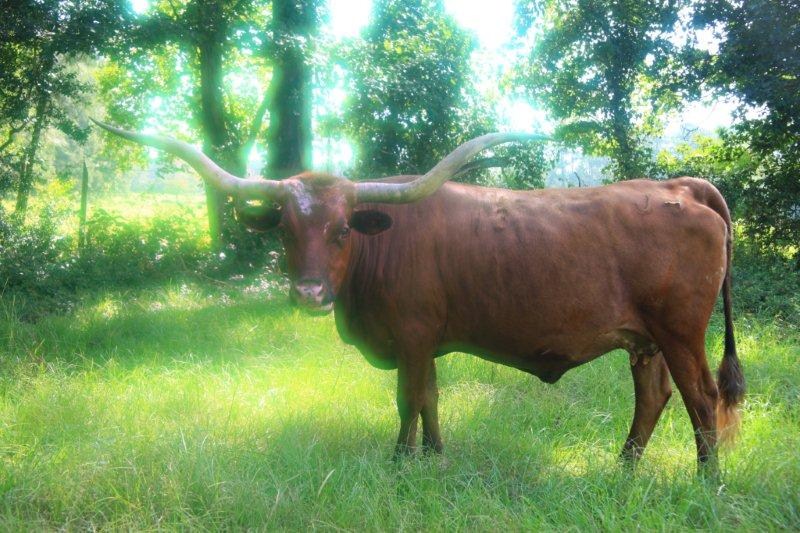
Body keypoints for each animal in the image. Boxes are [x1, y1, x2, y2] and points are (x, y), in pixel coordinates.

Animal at [94, 120, 744, 476]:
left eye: (342, 230)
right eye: (285, 229)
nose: (309, 293)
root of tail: (679, 185)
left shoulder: (410, 336)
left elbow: (408, 400)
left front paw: (401, 461)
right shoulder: (427, 342)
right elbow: (429, 398)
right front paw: (432, 456)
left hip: (680, 331)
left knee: (702, 398)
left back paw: (706, 480)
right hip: (645, 339)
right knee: (654, 397)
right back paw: (624, 467)